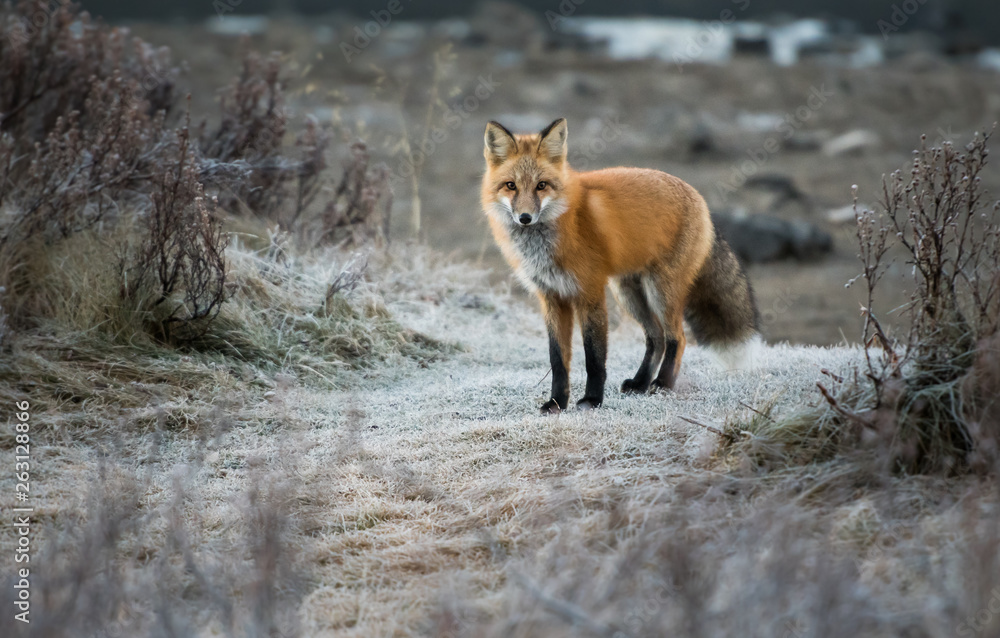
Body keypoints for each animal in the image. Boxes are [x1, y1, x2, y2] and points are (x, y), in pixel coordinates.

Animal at [481, 117, 761, 414]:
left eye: (541, 185)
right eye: (510, 185)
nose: (525, 217)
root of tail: (698, 197)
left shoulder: (589, 292)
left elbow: (594, 357)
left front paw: (592, 400)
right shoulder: (551, 297)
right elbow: (558, 360)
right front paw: (557, 403)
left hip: (660, 291)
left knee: (677, 337)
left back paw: (663, 383)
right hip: (628, 294)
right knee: (656, 338)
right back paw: (640, 383)